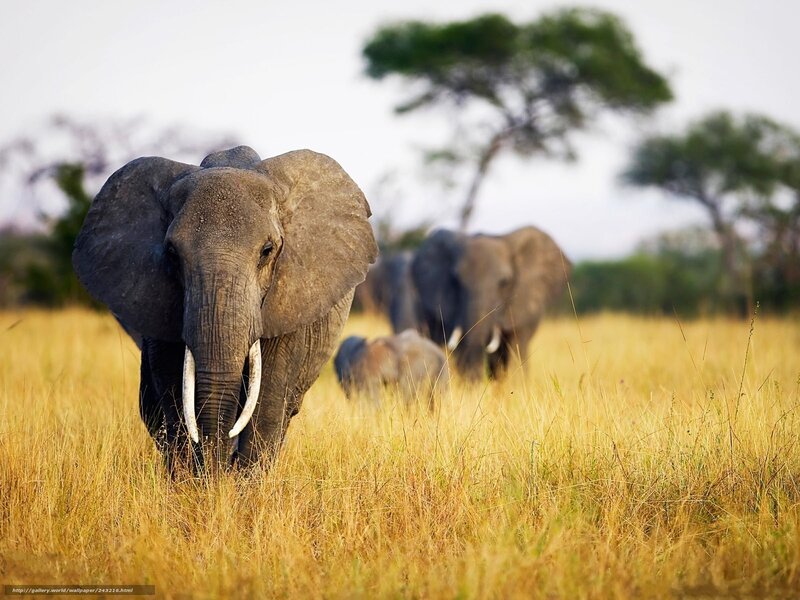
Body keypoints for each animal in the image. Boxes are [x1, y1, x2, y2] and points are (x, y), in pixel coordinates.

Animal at [72, 145, 378, 473]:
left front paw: (243, 484)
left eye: (267, 251)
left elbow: (269, 396)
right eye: (172, 253)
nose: (218, 473)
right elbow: (173, 387)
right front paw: (193, 481)